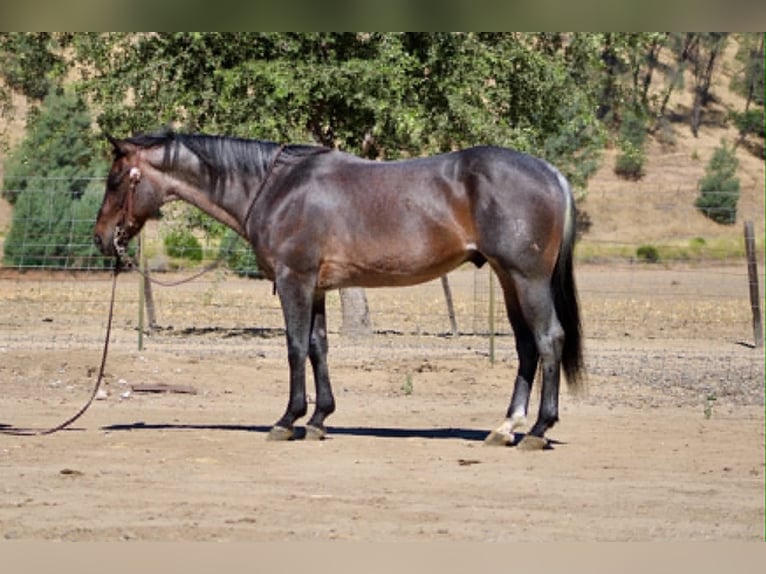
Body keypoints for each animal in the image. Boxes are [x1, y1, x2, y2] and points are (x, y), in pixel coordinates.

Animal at [94, 130, 583, 448]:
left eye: (115, 180)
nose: (101, 239)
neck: (278, 187)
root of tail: (551, 173)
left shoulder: (294, 280)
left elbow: (294, 347)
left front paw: (287, 420)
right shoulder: (316, 287)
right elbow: (318, 346)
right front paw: (318, 419)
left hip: (526, 278)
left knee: (548, 340)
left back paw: (538, 430)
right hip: (507, 278)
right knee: (526, 346)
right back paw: (506, 427)